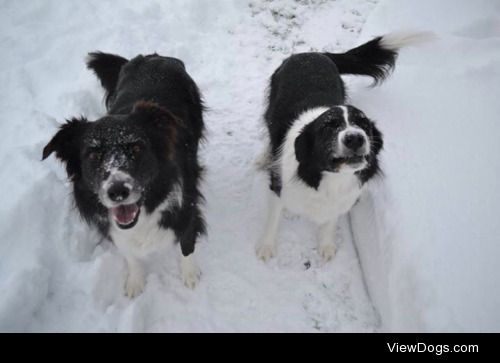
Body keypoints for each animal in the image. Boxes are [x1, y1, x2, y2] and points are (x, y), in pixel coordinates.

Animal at [43, 53, 206, 298]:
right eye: (93, 155)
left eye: (137, 149)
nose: (118, 192)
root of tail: (152, 56)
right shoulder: (116, 230)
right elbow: (129, 253)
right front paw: (135, 281)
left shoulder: (187, 206)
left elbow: (187, 242)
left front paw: (190, 275)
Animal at [256, 32, 432, 264]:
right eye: (328, 127)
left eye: (363, 125)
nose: (355, 138)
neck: (331, 178)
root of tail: (312, 53)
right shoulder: (279, 185)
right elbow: (273, 218)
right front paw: (266, 247)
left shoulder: (342, 198)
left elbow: (331, 219)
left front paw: (326, 244)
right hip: (272, 107)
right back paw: (264, 157)